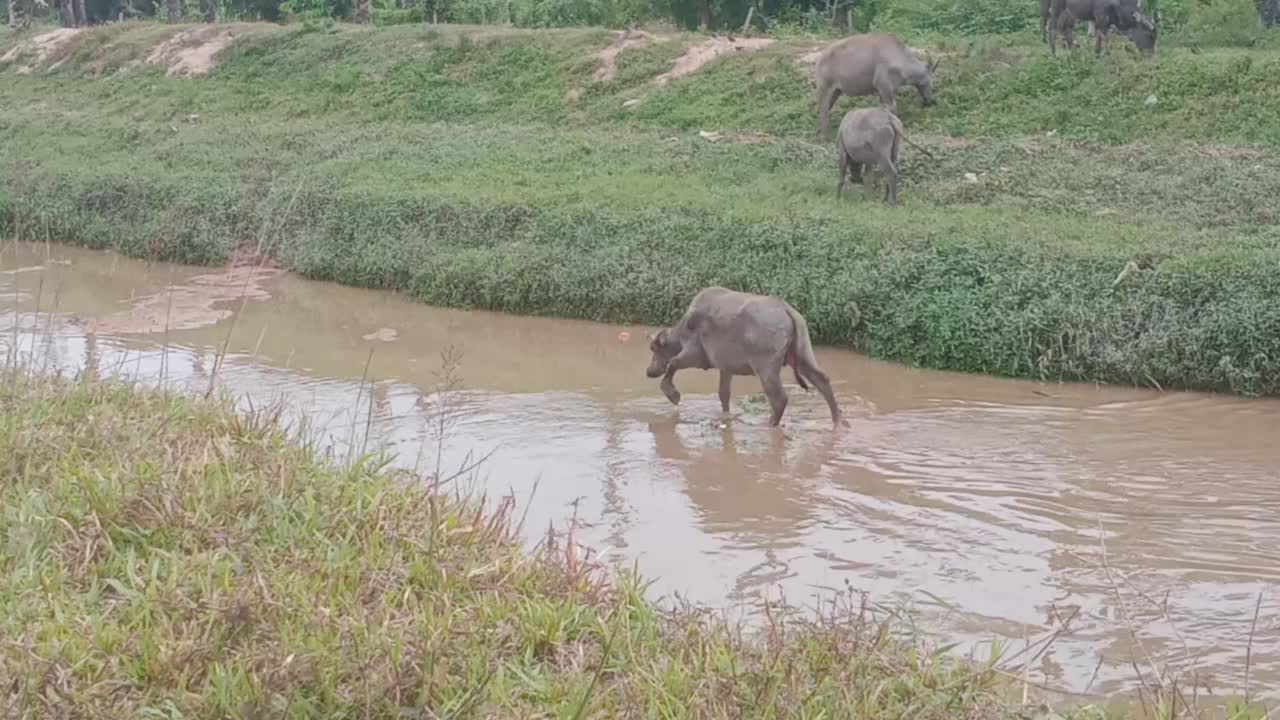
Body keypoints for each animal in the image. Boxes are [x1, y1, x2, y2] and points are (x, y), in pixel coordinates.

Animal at [645, 283, 844, 425]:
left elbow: (673, 363)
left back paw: (769, 423)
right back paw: (839, 421)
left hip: (766, 367)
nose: (649, 371)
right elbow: (723, 394)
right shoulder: (725, 367)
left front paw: (673, 394)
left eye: (654, 349)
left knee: (779, 398)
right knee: (822, 380)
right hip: (803, 353)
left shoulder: (695, 354)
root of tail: (788, 311)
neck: (683, 330)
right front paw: (726, 416)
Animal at [808, 33, 942, 144]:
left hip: (836, 91)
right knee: (823, 109)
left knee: (821, 109)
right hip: (824, 89)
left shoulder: (883, 92)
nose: (931, 101)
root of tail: (820, 59)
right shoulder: (884, 87)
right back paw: (824, 138)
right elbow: (892, 108)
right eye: (930, 81)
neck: (899, 58)